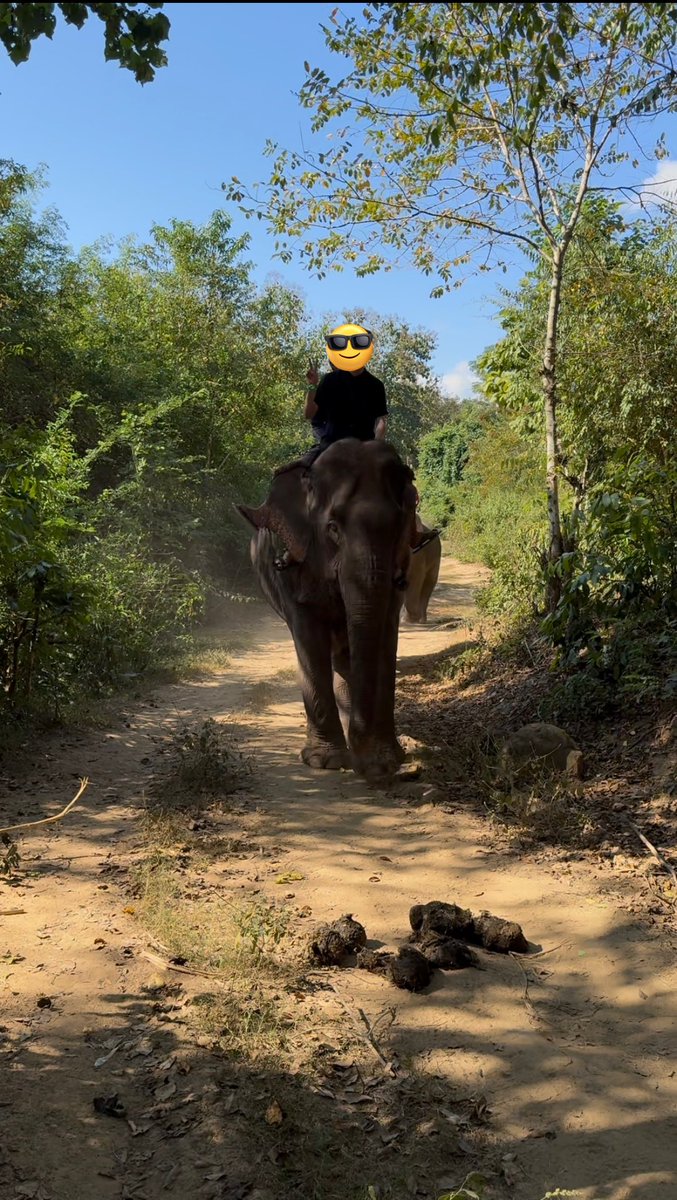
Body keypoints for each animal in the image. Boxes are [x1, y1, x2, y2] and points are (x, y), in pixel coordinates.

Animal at [237, 439, 418, 781]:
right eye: (332, 528)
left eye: (398, 526)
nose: (365, 765)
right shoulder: (295, 566)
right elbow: (309, 640)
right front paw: (325, 761)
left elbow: (385, 636)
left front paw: (386, 760)